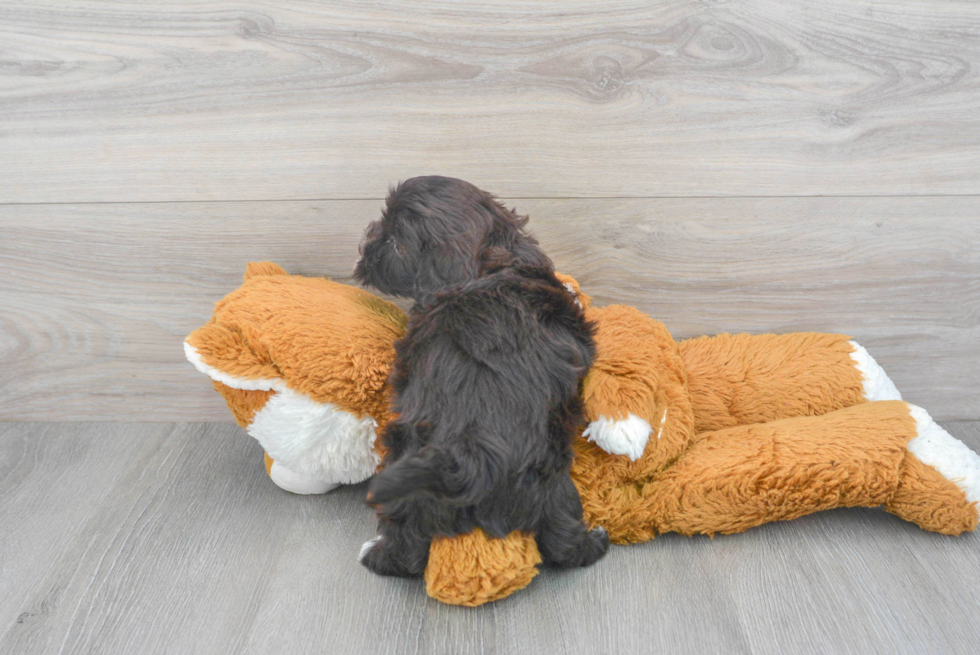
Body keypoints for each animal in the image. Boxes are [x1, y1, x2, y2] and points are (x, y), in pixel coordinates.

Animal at [356, 177, 608, 576]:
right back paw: (592, 542)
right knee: (562, 535)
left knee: (406, 545)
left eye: (395, 241)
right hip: (551, 479)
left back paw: (378, 552)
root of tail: (473, 456)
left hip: (406, 463)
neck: (487, 264)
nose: (364, 245)